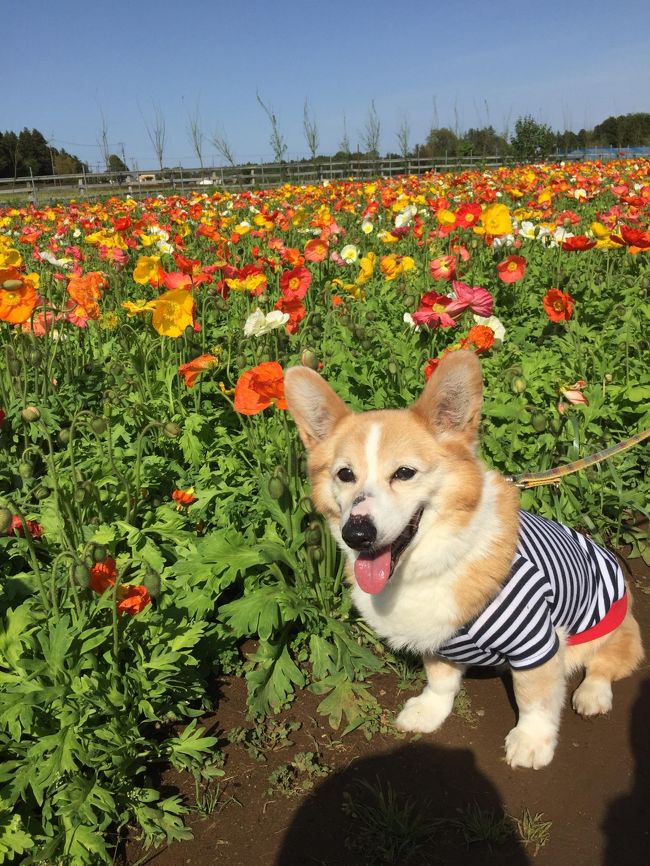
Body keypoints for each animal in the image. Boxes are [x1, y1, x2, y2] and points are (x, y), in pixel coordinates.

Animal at [284, 348, 644, 768]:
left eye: (404, 472)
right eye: (345, 474)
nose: (356, 534)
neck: (430, 563)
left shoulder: (536, 640)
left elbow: (534, 698)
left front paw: (531, 742)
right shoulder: (438, 640)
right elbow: (440, 680)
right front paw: (429, 712)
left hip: (610, 626)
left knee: (608, 661)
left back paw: (592, 695)